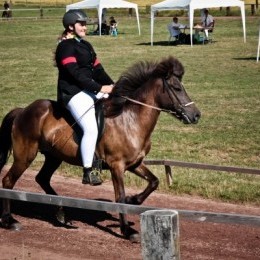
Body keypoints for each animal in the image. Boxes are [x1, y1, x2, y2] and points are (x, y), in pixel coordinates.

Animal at [0, 55, 201, 243]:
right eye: (177, 88)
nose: (196, 115)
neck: (130, 119)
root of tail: (23, 110)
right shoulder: (116, 165)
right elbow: (120, 197)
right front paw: (128, 231)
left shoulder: (134, 163)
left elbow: (154, 182)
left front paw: (134, 200)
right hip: (25, 156)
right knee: (8, 181)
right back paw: (10, 221)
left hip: (53, 156)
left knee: (42, 179)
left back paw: (62, 215)